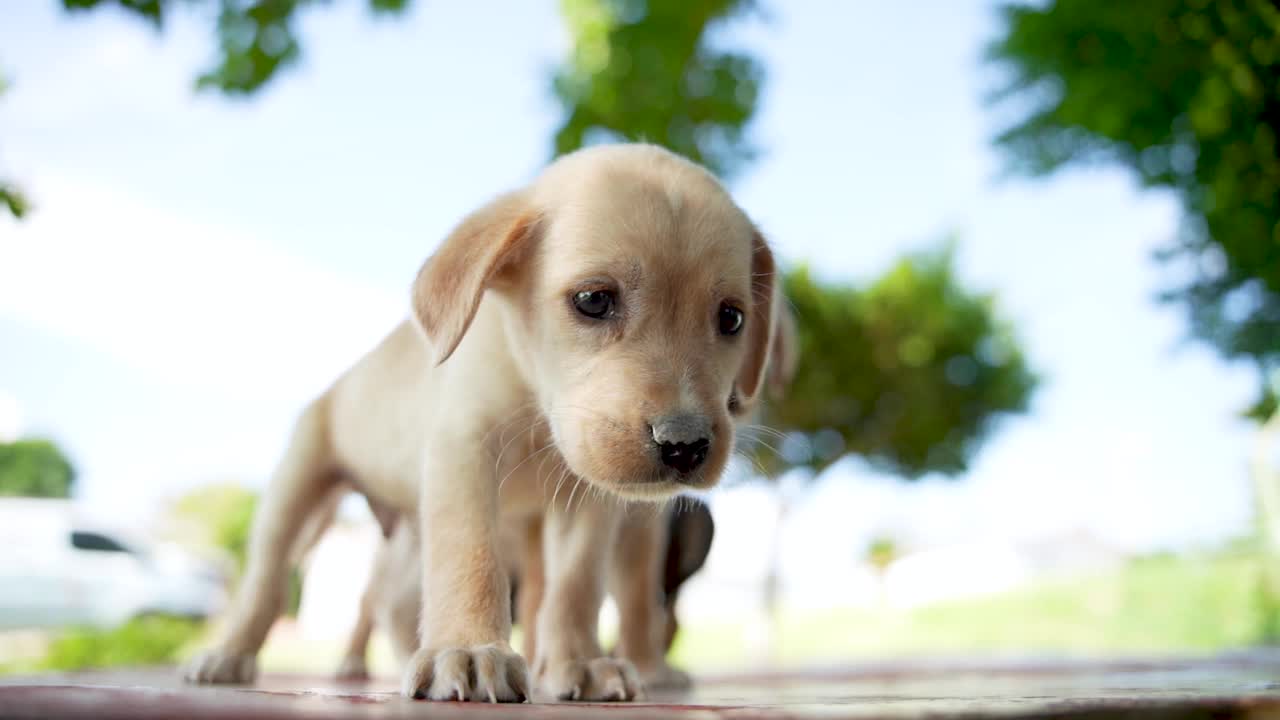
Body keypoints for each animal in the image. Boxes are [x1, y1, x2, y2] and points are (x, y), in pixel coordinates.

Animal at [184, 142, 773, 696]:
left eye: (731, 318)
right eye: (593, 300)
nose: (684, 445)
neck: (537, 410)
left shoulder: (586, 500)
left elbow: (575, 587)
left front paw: (578, 663)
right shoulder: (463, 453)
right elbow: (471, 557)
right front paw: (468, 650)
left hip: (409, 536)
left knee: (394, 600)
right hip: (297, 494)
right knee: (268, 582)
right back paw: (228, 655)